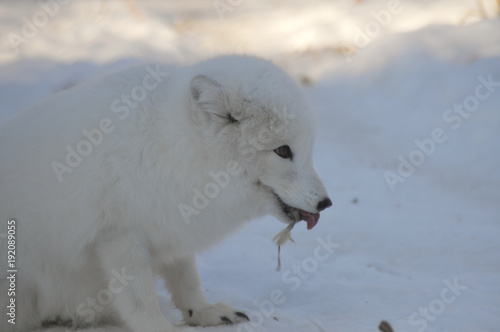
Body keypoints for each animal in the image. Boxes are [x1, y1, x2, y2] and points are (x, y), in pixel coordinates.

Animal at [0, 55, 332, 330]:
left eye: (307, 150)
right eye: (283, 151)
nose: (326, 203)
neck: (170, 150)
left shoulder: (173, 227)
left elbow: (187, 280)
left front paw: (204, 312)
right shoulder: (119, 237)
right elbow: (140, 301)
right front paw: (160, 327)